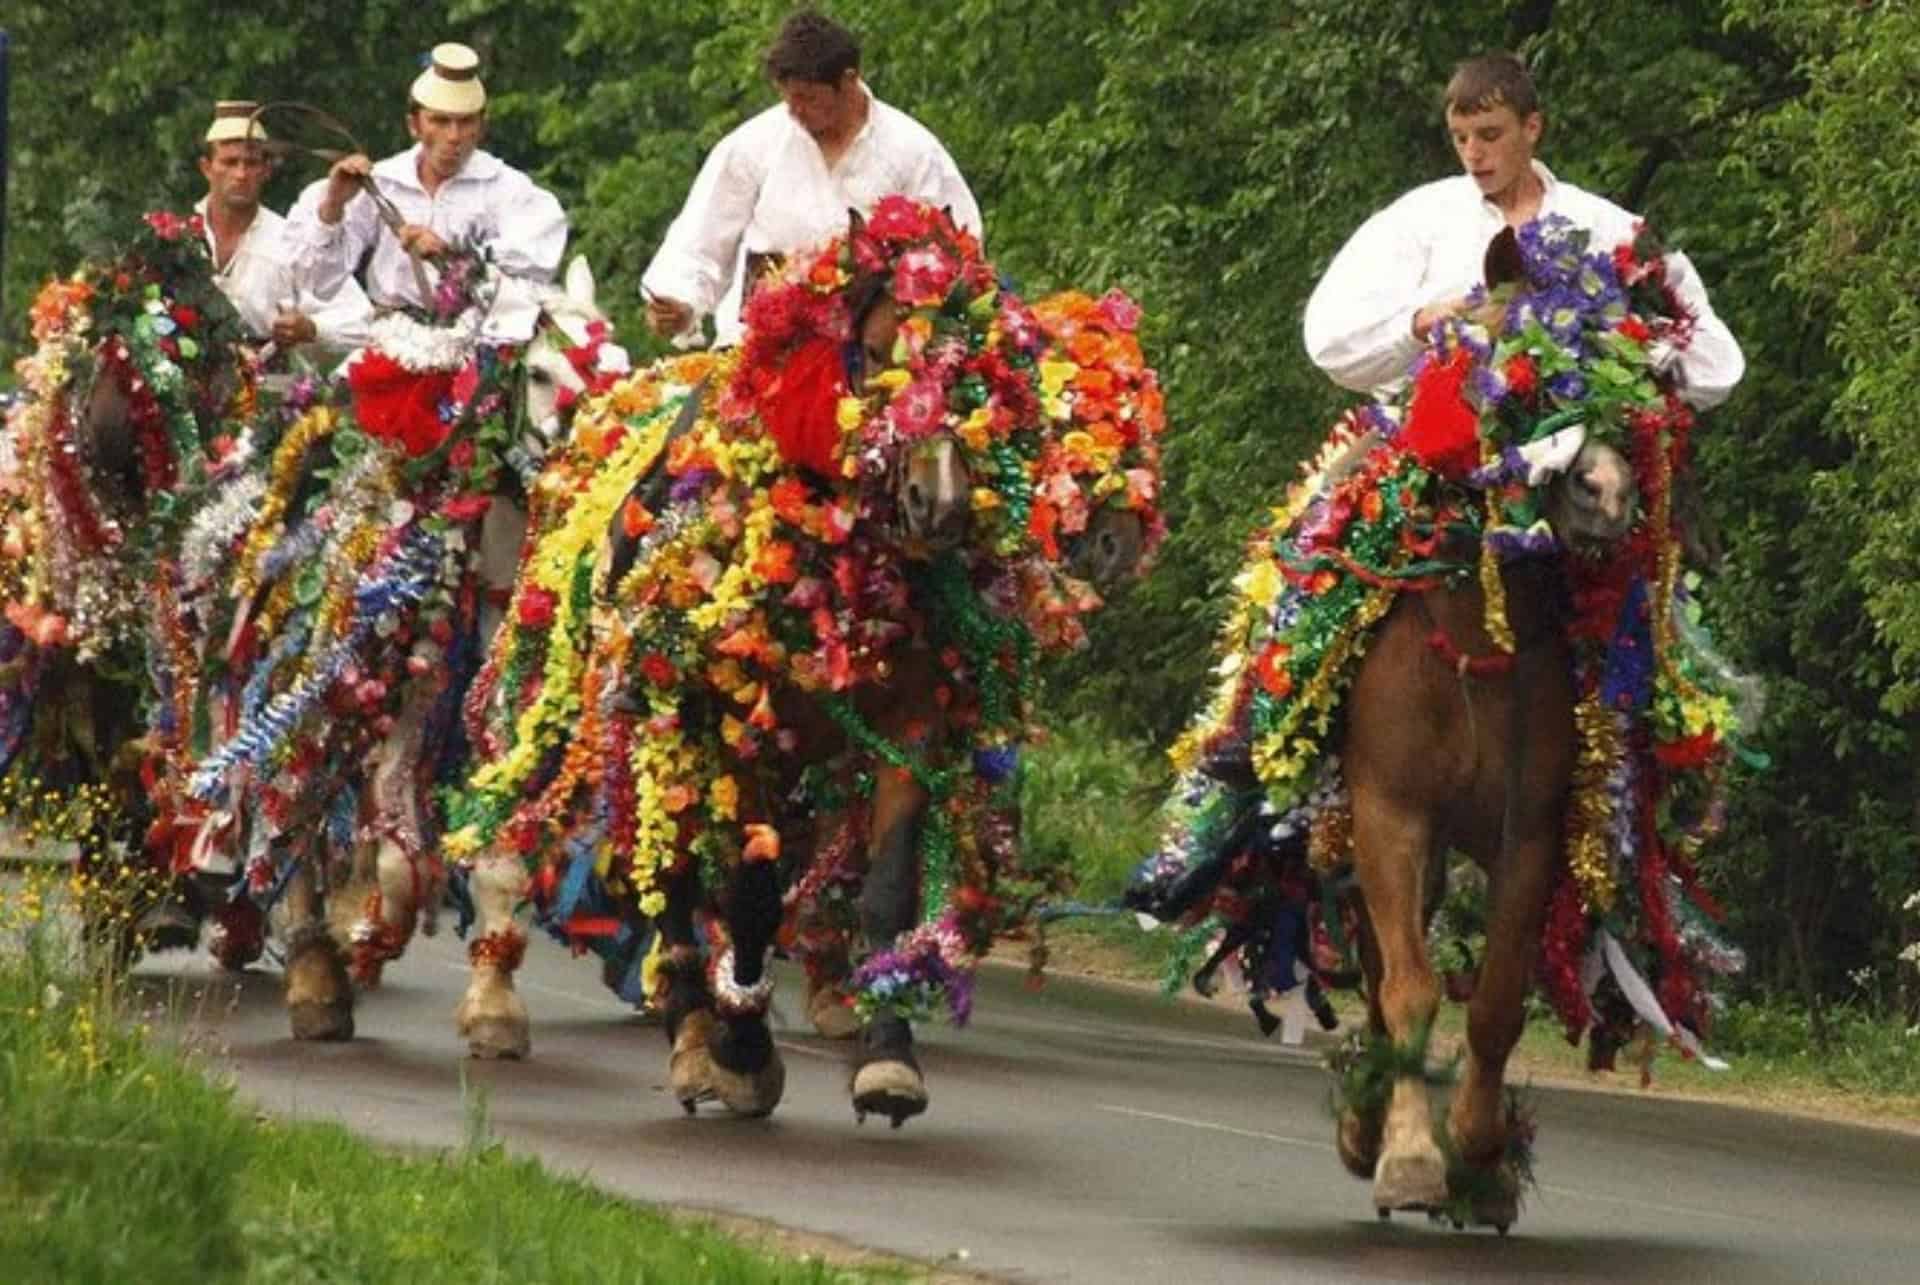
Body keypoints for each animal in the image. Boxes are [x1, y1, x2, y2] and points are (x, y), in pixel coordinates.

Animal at [445, 197, 1167, 1121]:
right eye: (882, 350)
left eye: (975, 374)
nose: (936, 501)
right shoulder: (739, 725)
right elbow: (748, 894)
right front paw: (741, 1049)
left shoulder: (909, 724)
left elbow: (882, 889)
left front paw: (887, 1055)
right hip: (646, 717)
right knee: (670, 864)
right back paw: (682, 1027)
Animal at [1128, 220, 1758, 1229]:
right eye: (1518, 361)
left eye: (1650, 384)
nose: (1603, 495)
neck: (1475, 632)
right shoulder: (1392, 815)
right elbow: (1411, 987)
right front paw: (1411, 1154)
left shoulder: (1528, 830)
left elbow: (1496, 998)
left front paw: (1482, 1153)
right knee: (1382, 969)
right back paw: (1366, 1122)